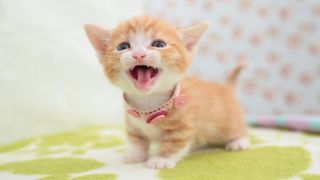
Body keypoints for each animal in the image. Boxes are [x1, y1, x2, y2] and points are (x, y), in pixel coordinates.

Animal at [84, 15, 249, 169]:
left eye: (159, 44)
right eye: (123, 46)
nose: (139, 54)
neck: (148, 104)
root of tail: (226, 87)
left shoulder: (182, 127)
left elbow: (174, 143)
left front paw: (161, 159)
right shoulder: (133, 124)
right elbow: (136, 140)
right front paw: (135, 155)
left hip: (228, 122)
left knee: (237, 129)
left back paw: (239, 141)